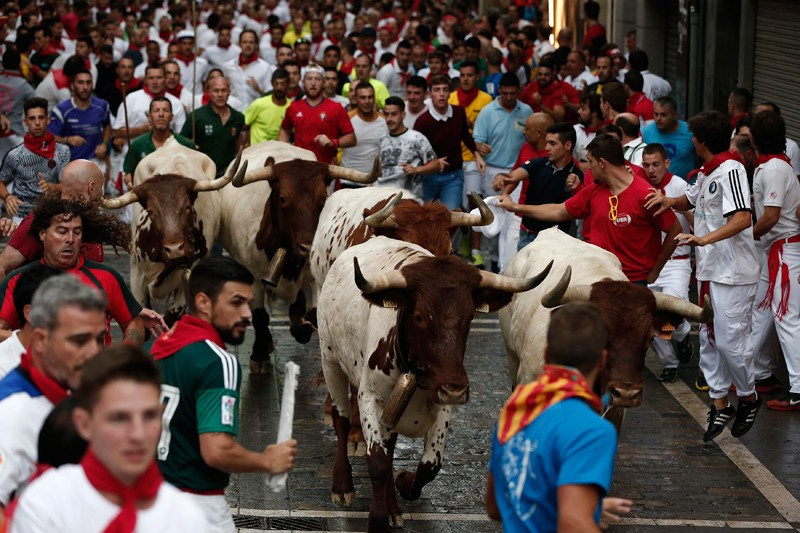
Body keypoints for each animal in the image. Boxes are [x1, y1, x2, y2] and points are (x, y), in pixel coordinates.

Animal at [219, 139, 382, 368]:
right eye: (282, 198)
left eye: (323, 197)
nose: (307, 247)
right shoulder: (253, 277)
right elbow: (260, 317)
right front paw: (259, 353)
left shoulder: (314, 278)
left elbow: (311, 314)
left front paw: (300, 325)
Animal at [318, 238, 552, 532]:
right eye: (419, 316)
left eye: (470, 317)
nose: (456, 388)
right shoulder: (369, 397)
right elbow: (378, 462)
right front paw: (378, 518)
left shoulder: (441, 403)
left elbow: (430, 465)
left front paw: (404, 484)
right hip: (330, 360)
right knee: (340, 420)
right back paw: (342, 486)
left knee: (391, 444)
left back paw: (393, 507)